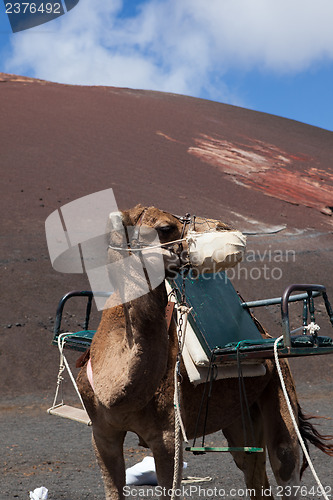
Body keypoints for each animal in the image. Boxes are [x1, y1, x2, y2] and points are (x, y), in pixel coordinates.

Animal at [76, 204, 332, 500]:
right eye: (165, 227)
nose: (225, 227)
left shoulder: (168, 437)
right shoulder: (101, 433)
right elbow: (113, 488)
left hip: (280, 382)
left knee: (285, 460)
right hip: (241, 415)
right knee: (253, 471)